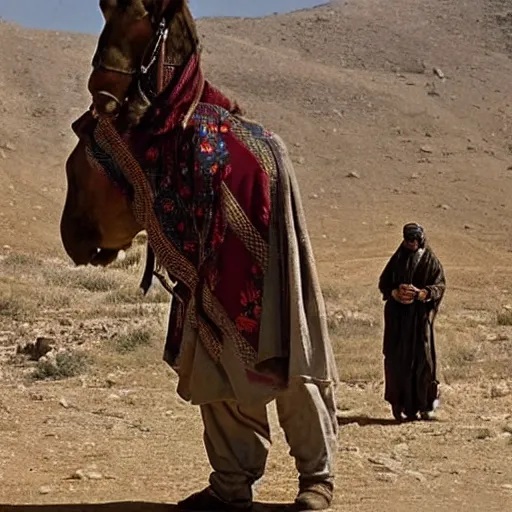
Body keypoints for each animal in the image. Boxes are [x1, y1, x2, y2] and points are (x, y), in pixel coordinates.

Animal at [60, 2, 338, 510]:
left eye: (136, 16)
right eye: (105, 13)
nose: (100, 91)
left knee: (304, 384)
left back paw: (315, 488)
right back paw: (227, 489)